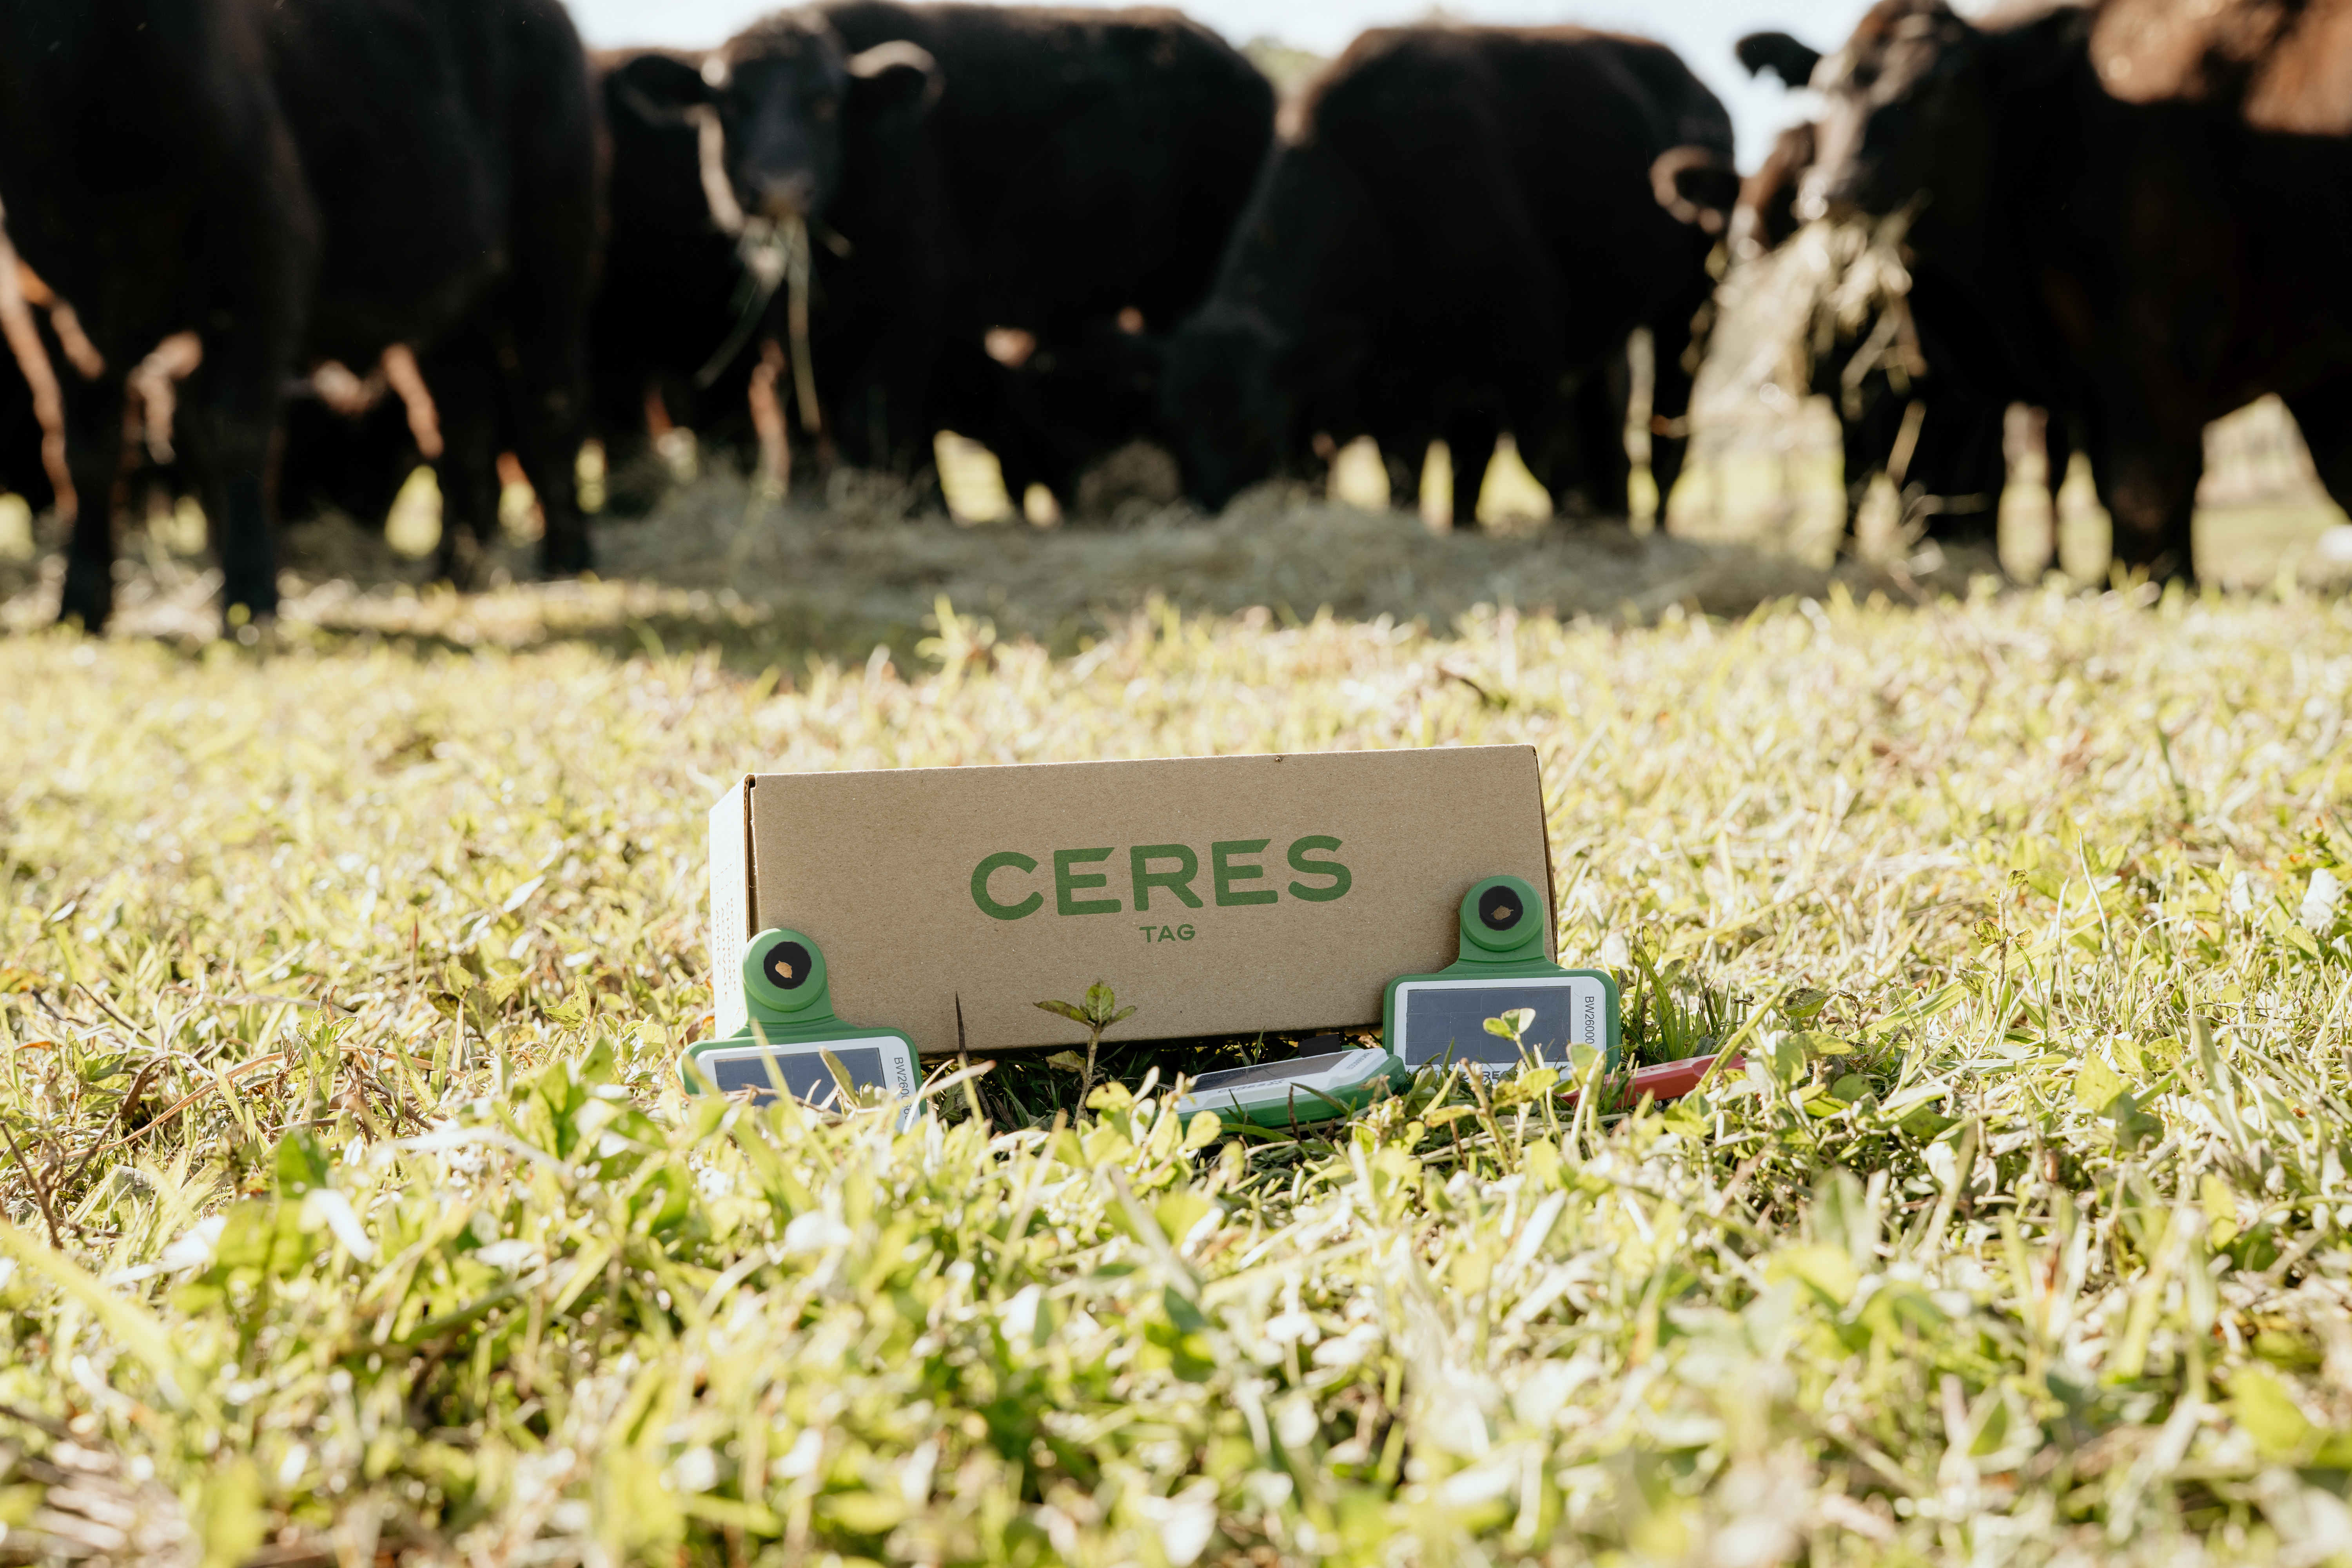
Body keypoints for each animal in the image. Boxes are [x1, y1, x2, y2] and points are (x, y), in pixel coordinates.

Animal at [0, 0, 596, 632]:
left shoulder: (262, 265)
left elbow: (233, 430)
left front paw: (250, 596)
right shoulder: (44, 302)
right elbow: (84, 452)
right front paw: (79, 605)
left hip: (551, 258)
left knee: (552, 403)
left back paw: (568, 561)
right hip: (451, 310)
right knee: (462, 425)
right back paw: (455, 573)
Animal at [618, 3, 1276, 512]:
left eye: (826, 101)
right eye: (727, 102)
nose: (781, 187)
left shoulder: (914, 307)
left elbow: (891, 417)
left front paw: (915, 506)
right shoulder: (792, 319)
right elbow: (799, 410)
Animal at [1159, 25, 1738, 526]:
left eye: (1253, 426)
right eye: (1175, 429)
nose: (1210, 506)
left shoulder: (1524, 337)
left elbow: (1542, 454)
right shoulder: (1400, 377)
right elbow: (1413, 470)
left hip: (1691, 309)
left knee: (1666, 432)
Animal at [1804, 0, 2352, 580]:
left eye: (1946, 83)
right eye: (1826, 89)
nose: (1834, 191)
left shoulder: (2152, 351)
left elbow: (2142, 490)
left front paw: (2144, 584)